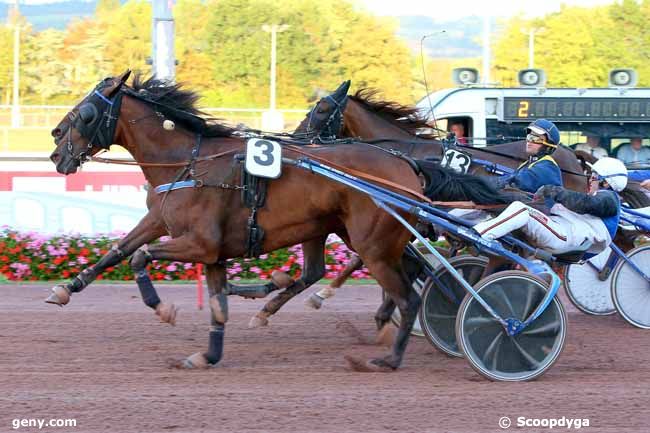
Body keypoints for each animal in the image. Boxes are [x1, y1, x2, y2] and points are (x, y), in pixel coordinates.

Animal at [45, 72, 506, 370]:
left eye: (86, 112)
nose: (54, 146)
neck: (188, 162)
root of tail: (407, 164)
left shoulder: (198, 243)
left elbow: (140, 258)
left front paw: (164, 309)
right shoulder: (186, 235)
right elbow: (130, 255)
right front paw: (66, 289)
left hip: (371, 242)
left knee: (411, 292)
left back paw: (393, 354)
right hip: (349, 233)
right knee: (393, 273)